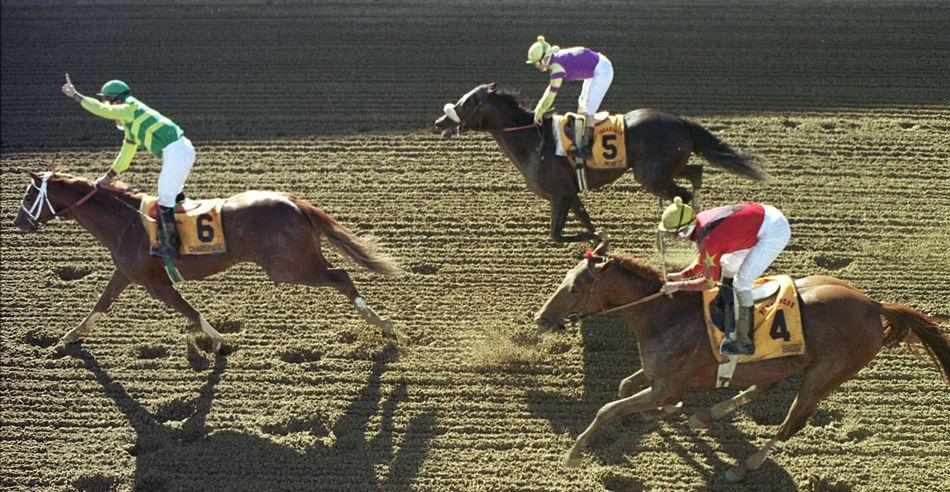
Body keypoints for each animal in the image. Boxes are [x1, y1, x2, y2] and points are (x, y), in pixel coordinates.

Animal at [15, 171, 402, 352]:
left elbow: (189, 311)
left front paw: (217, 340)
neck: (124, 221)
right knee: (340, 273)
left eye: (31, 194)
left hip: (288, 267)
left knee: (341, 276)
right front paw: (69, 336)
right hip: (303, 257)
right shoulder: (126, 272)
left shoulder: (156, 284)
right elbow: (101, 303)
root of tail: (293, 200)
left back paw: (382, 323)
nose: (19, 221)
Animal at [436, 84, 768, 244]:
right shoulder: (569, 195)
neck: (532, 141)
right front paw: (597, 240)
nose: (440, 121)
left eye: (467, 103)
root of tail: (680, 121)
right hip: (666, 167)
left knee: (682, 194)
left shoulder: (559, 196)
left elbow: (557, 236)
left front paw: (599, 237)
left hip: (651, 176)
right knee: (696, 173)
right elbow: (584, 221)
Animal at [536, 242, 950, 480]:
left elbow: (608, 409)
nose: (540, 317)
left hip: (825, 376)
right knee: (764, 385)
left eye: (575, 287)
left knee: (791, 424)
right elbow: (625, 389)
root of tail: (875, 306)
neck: (667, 316)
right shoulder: (657, 377)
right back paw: (706, 415)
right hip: (785, 362)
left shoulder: (667, 384)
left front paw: (574, 454)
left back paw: (743, 467)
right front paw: (663, 416)